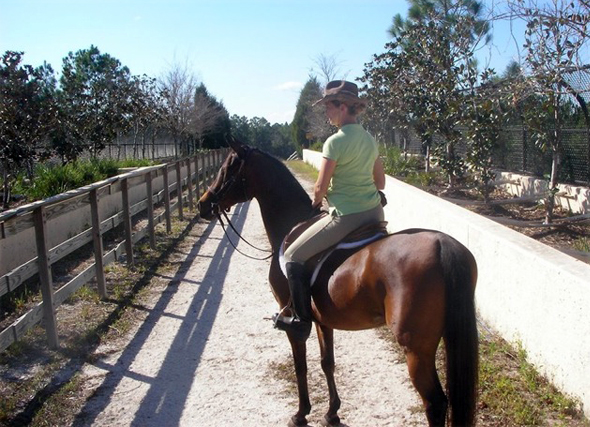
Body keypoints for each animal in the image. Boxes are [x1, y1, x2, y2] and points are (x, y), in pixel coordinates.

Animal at [199, 138, 480, 427]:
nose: (203, 204)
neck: (292, 226)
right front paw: (331, 413)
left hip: (415, 348)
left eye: (227, 169)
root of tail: (442, 244)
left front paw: (300, 414)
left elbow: (300, 365)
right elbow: (327, 362)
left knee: (435, 403)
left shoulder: (294, 322)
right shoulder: (323, 320)